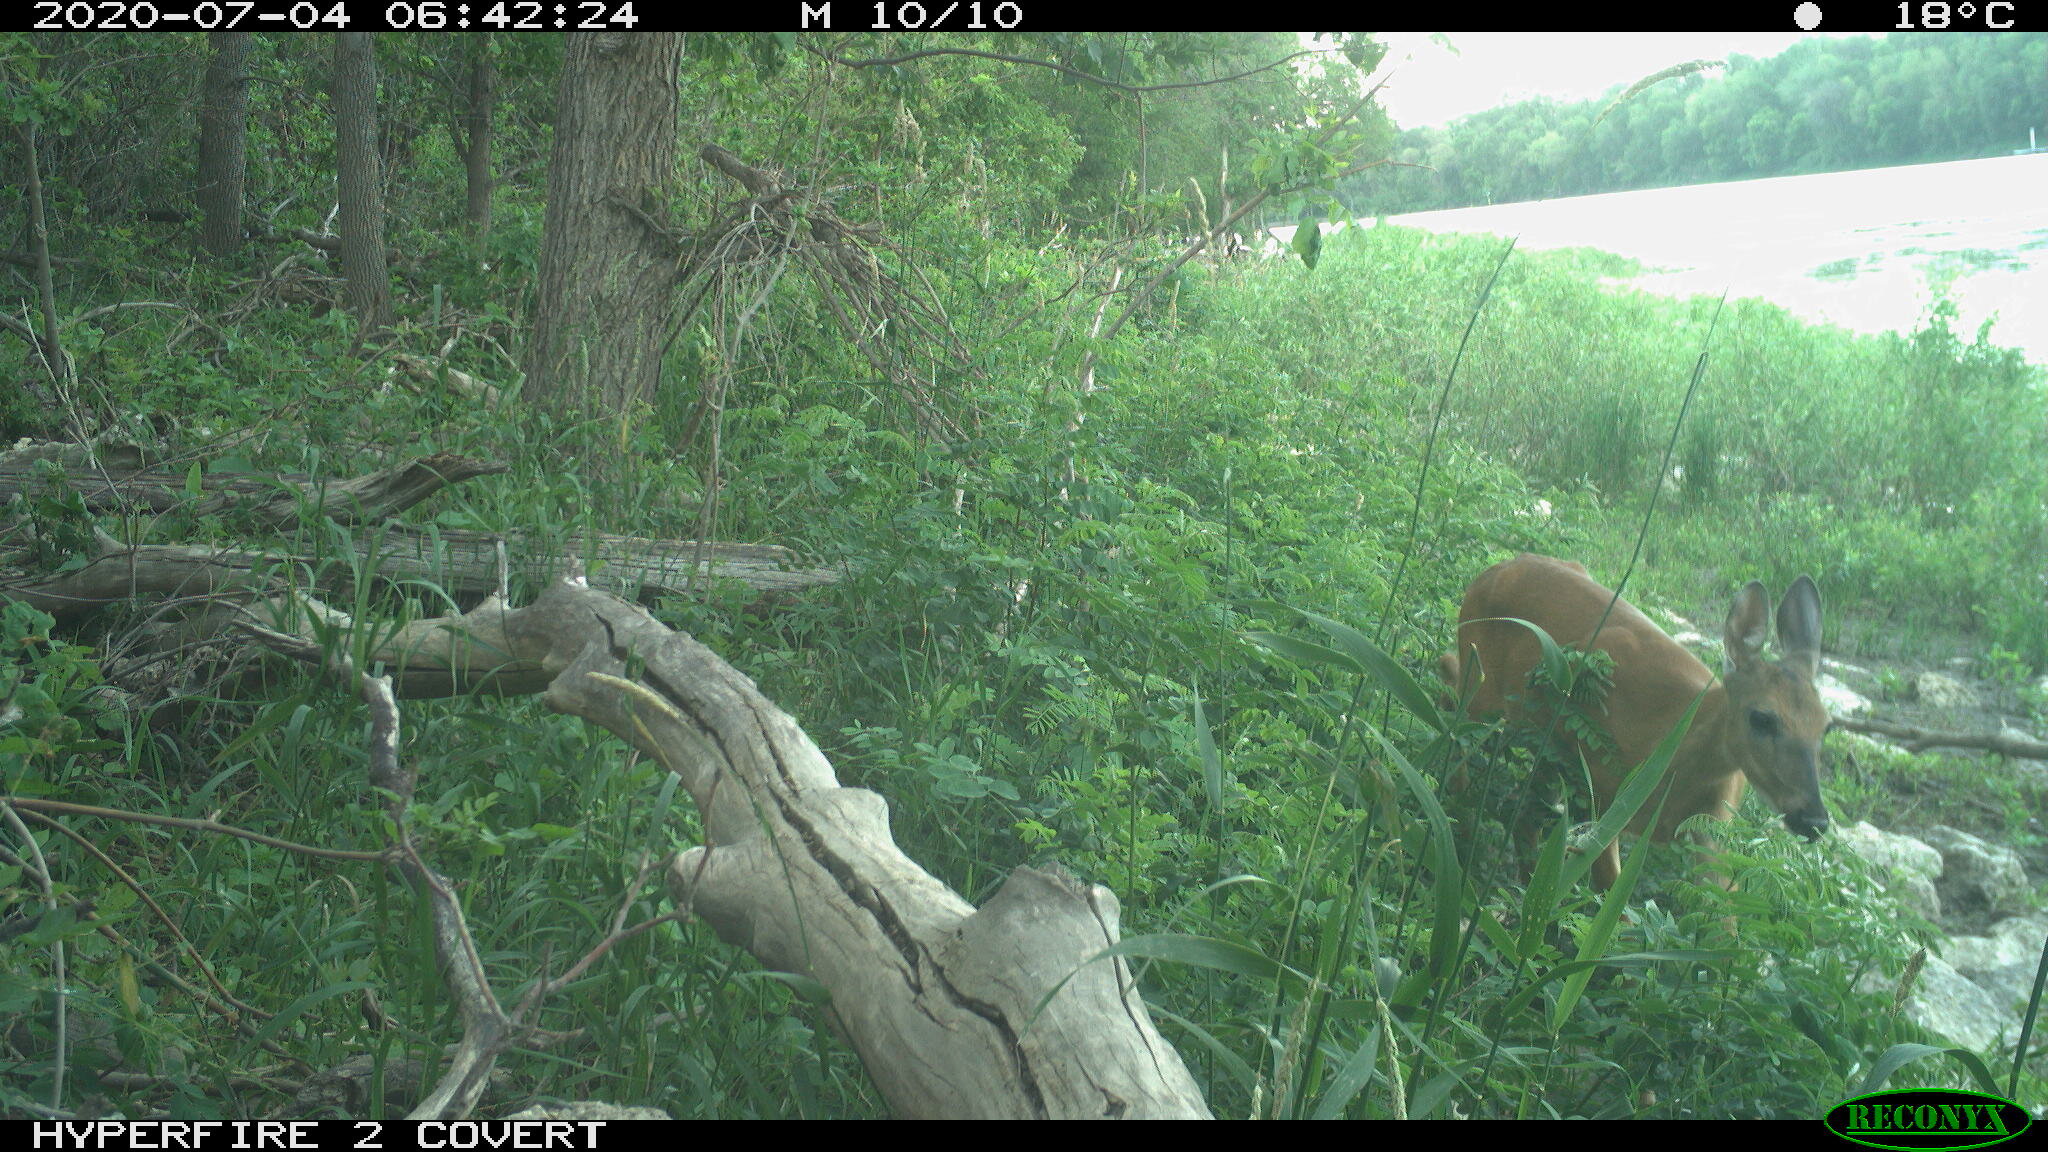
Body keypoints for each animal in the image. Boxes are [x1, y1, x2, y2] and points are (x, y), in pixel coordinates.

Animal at [1437, 553, 1830, 890]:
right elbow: (1609, 893)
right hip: (1486, 687)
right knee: (1453, 700)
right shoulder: (1599, 787)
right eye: (1761, 718)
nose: (1814, 820)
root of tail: (1494, 570)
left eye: (1826, 726)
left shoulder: (1713, 828)